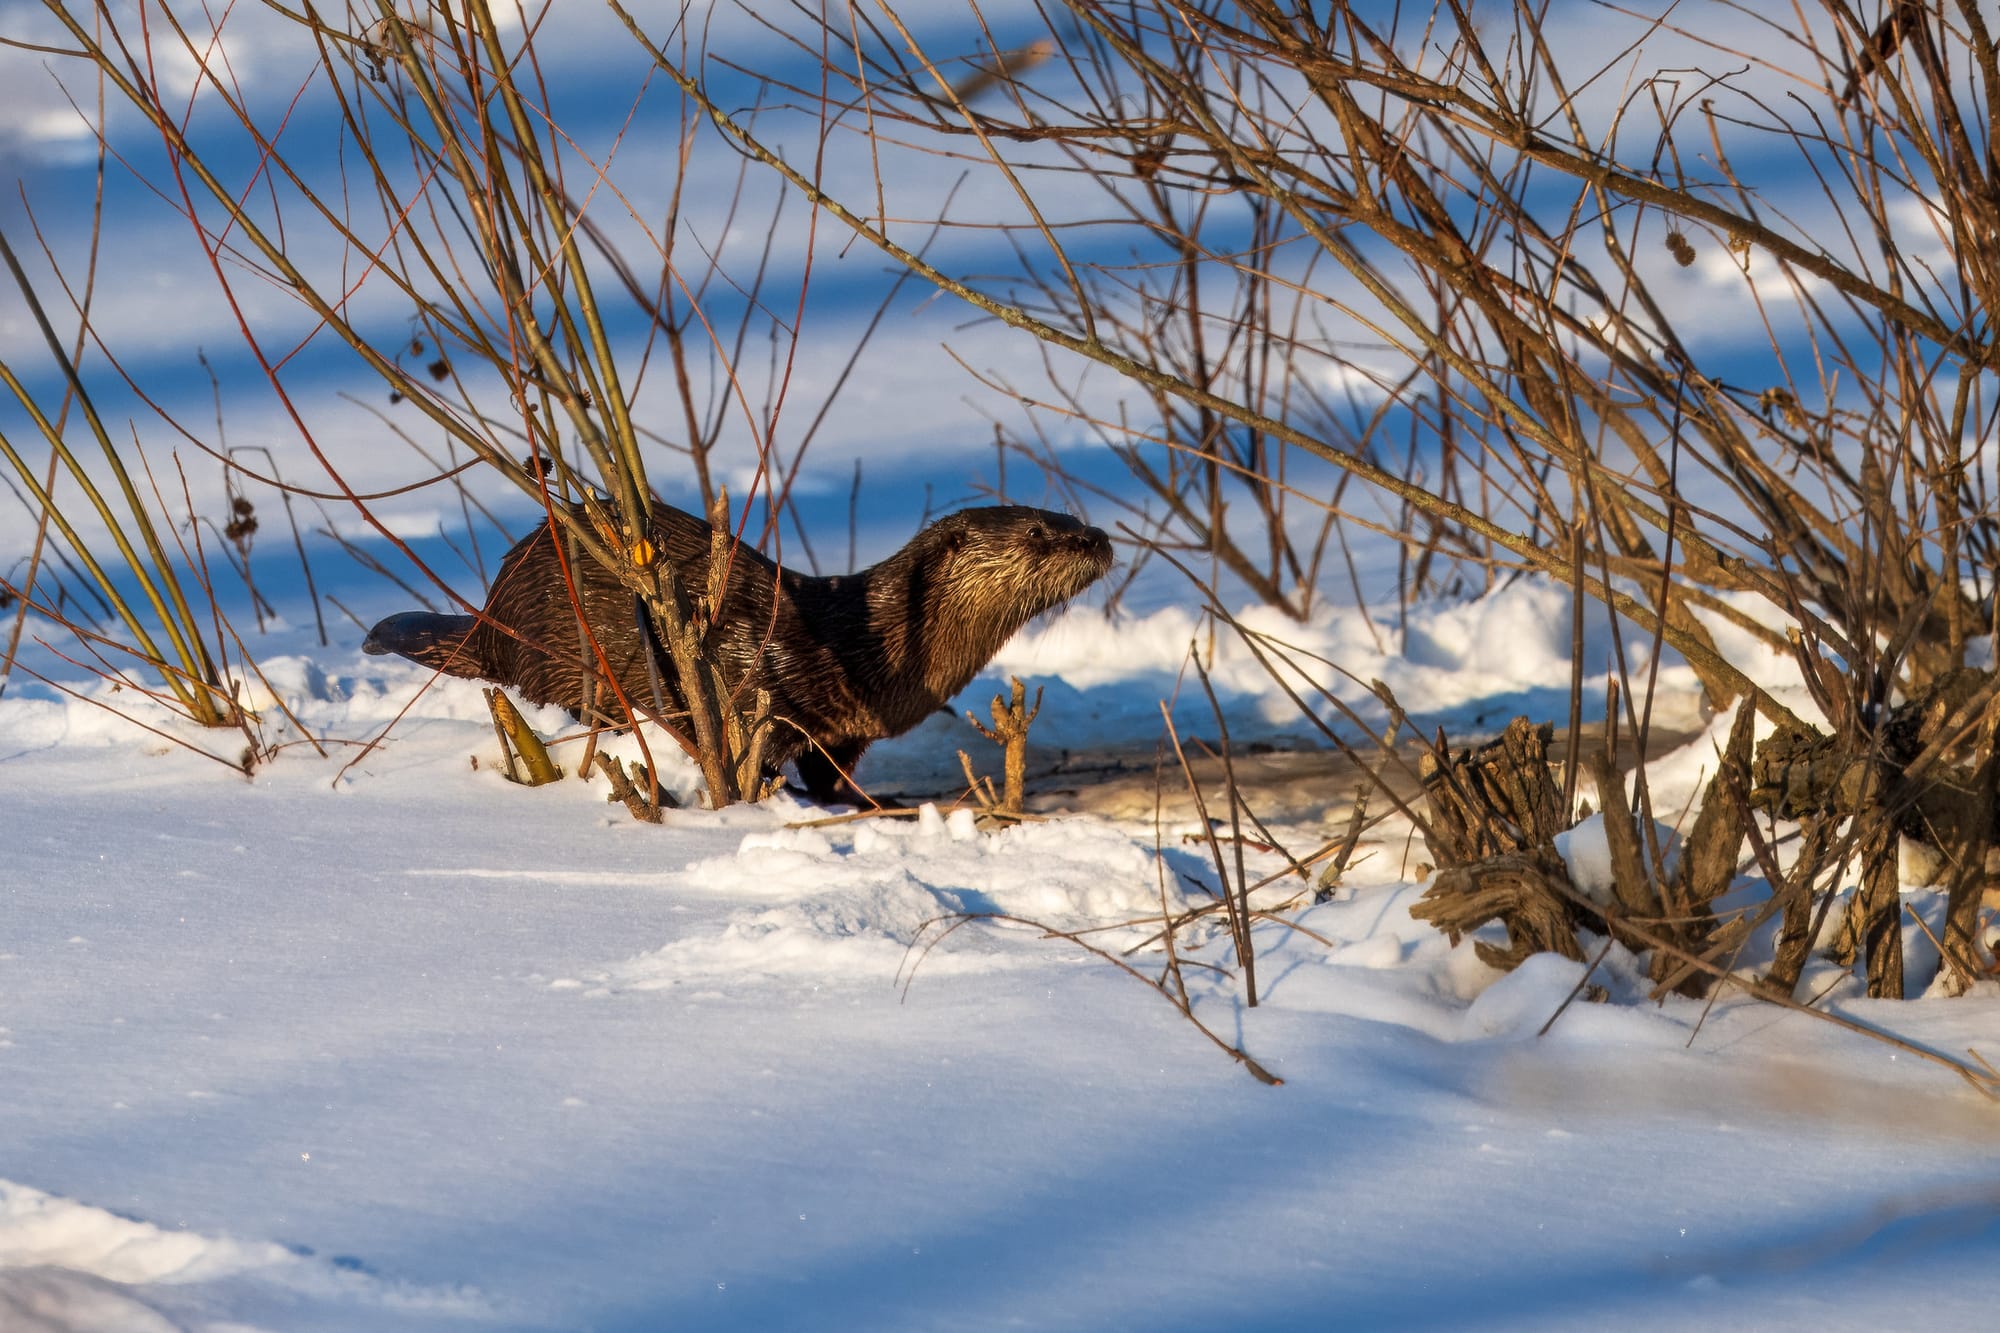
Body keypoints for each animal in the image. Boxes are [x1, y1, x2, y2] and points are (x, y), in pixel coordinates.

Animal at [364, 503, 1113, 801]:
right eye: (1040, 531)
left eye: (1068, 516)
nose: (1100, 537)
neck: (870, 642)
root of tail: (491, 613)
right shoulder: (761, 693)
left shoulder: (846, 732)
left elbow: (832, 776)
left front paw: (863, 800)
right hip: (550, 649)